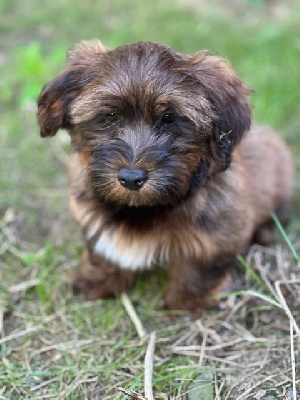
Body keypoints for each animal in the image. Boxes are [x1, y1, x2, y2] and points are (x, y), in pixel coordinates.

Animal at [37, 41, 292, 316]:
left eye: (169, 118)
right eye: (109, 116)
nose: (131, 178)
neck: (145, 208)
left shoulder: (219, 224)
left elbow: (198, 266)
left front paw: (188, 301)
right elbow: (102, 250)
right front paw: (98, 281)